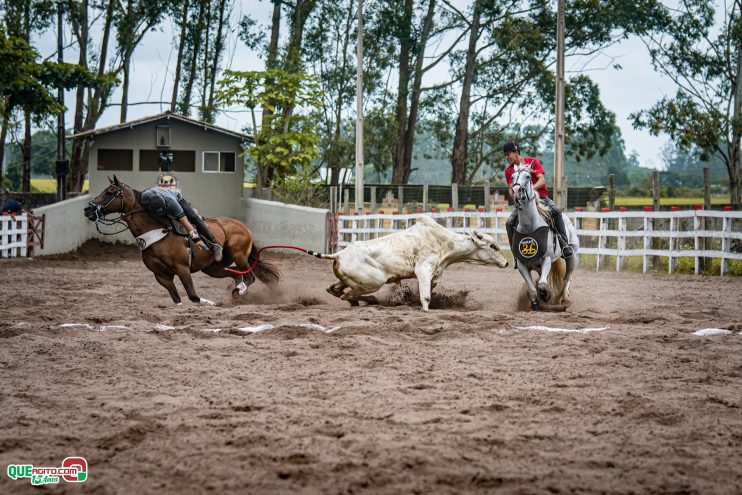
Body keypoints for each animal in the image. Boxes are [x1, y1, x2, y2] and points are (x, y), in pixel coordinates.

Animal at [84, 176, 280, 304]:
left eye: (110, 192)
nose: (88, 209)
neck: (157, 233)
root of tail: (243, 226)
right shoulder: (161, 276)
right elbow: (177, 299)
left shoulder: (182, 268)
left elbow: (193, 296)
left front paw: (209, 303)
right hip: (213, 268)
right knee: (236, 274)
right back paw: (237, 291)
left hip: (238, 254)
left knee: (250, 276)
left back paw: (240, 289)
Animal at [308, 216, 512, 310]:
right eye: (493, 246)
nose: (506, 263)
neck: (444, 243)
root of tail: (340, 254)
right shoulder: (423, 270)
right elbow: (426, 297)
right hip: (372, 282)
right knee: (347, 295)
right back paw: (371, 301)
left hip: (349, 280)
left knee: (335, 290)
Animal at [512, 166, 580, 310]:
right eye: (512, 176)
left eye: (528, 176)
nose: (516, 191)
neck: (530, 227)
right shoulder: (521, 264)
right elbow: (533, 288)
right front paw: (536, 303)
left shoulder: (547, 258)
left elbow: (542, 284)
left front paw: (546, 295)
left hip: (571, 257)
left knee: (566, 279)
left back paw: (561, 299)